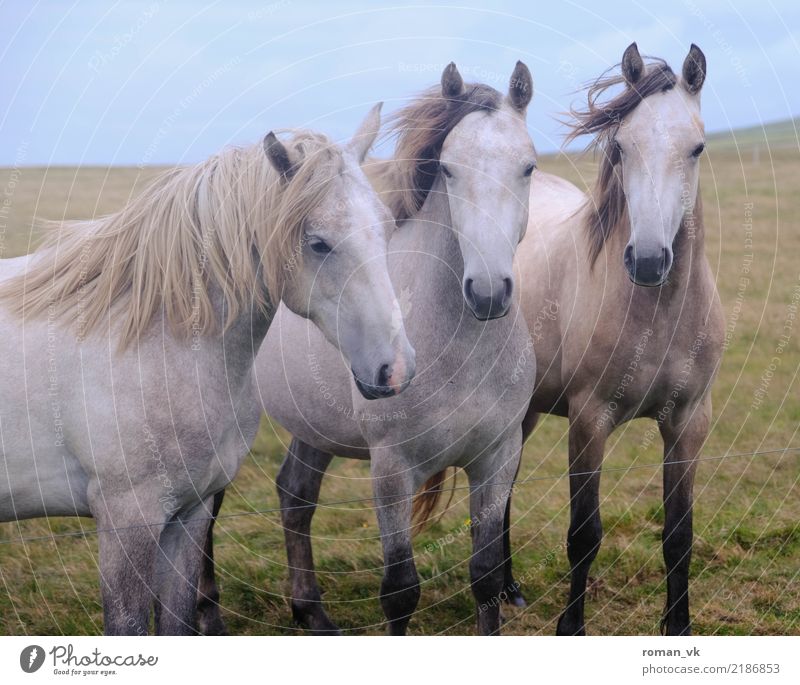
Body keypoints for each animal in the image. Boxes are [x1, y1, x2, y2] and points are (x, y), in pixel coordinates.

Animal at [0, 107, 416, 636]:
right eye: (318, 243)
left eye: (385, 226)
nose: (396, 369)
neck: (151, 338)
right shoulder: (127, 519)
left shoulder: (191, 512)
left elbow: (176, 621)